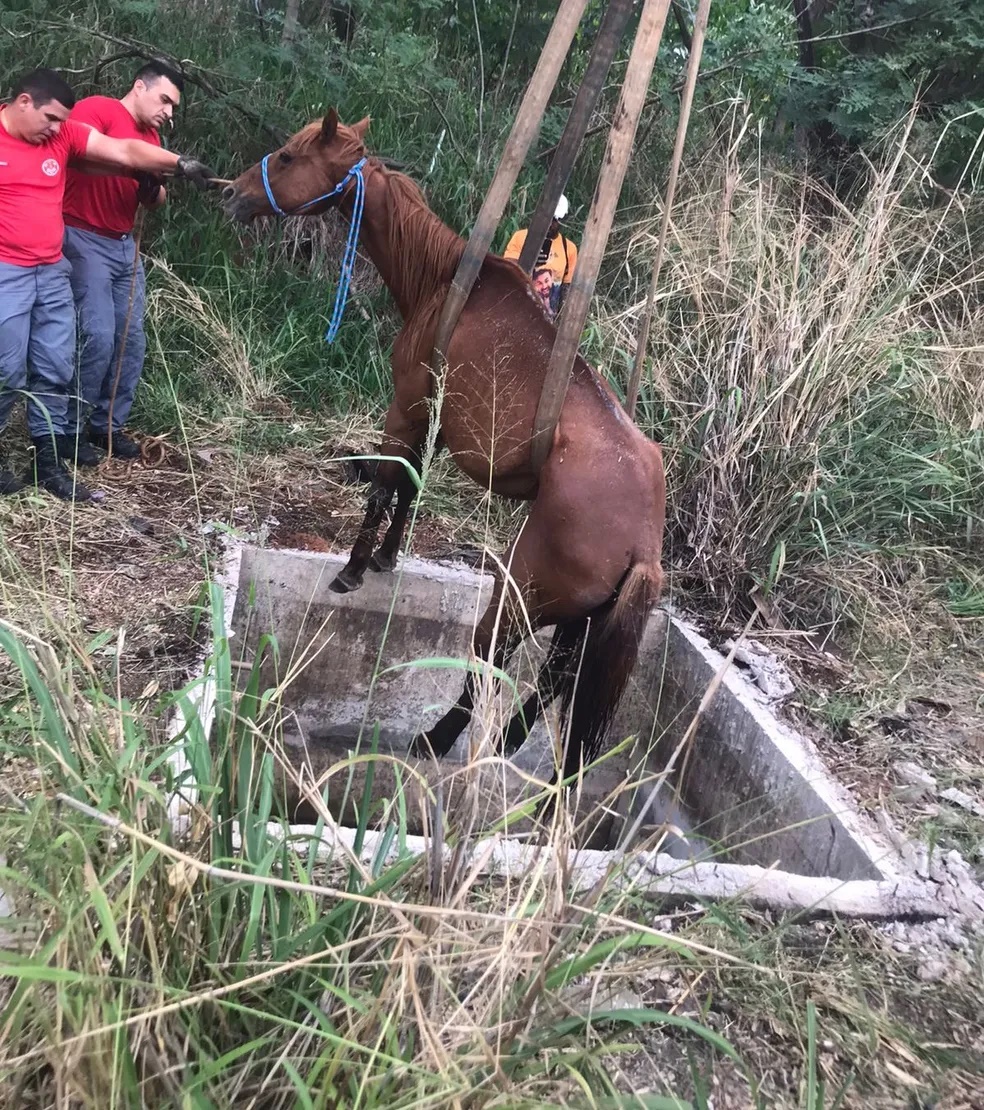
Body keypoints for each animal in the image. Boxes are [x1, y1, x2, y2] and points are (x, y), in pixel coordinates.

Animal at [222, 109, 666, 798]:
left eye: (291, 156)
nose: (234, 195)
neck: (449, 280)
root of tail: (644, 539)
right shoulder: (428, 418)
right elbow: (410, 483)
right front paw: (386, 557)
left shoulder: (406, 406)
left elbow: (385, 481)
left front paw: (355, 567)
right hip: (583, 621)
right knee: (556, 677)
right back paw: (510, 741)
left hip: (518, 598)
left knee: (492, 661)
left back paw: (437, 738)